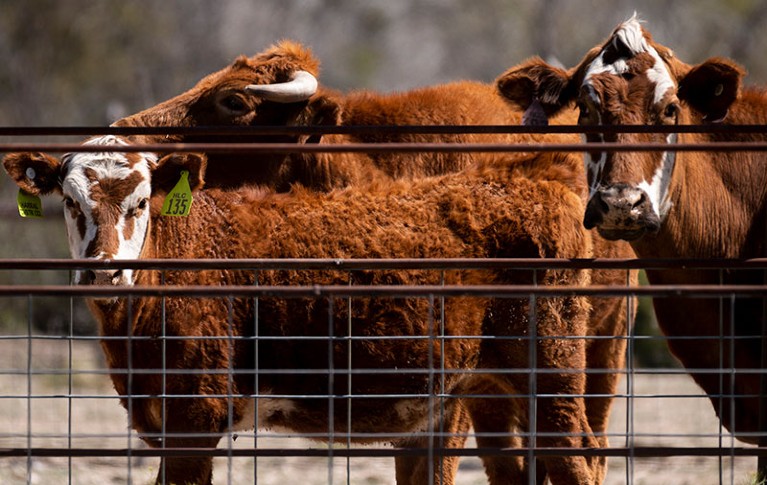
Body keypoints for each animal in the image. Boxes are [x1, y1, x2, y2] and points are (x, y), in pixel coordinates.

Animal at [7, 135, 632, 484]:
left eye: (140, 202)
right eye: (70, 202)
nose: (104, 270)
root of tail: (538, 186)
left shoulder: (196, 416)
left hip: (552, 369)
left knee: (574, 459)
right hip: (484, 385)